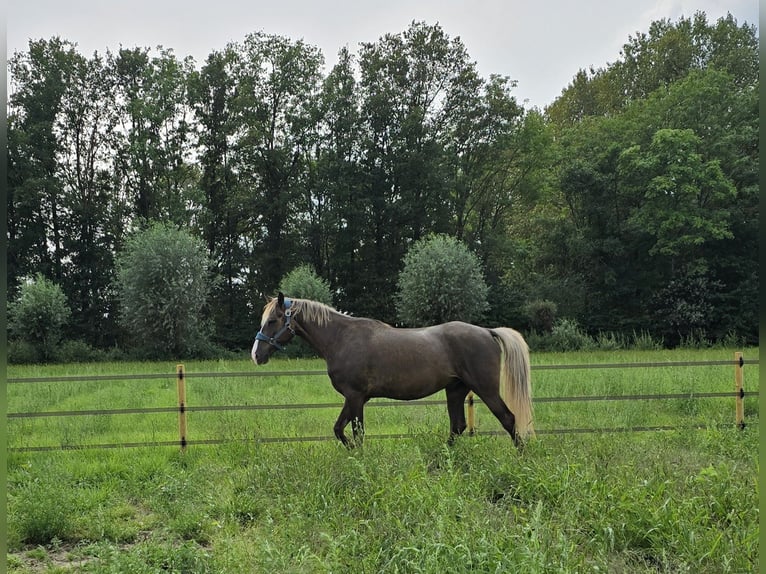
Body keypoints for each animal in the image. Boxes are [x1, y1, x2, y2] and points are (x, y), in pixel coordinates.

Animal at [251, 293, 533, 447]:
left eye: (273, 320)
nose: (256, 354)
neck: (341, 338)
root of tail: (487, 331)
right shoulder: (356, 398)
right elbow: (339, 429)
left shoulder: (355, 397)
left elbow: (357, 433)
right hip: (455, 390)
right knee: (458, 426)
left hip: (485, 389)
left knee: (508, 419)